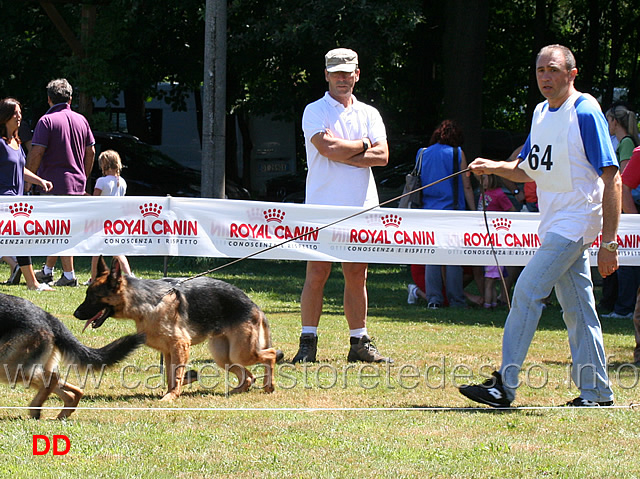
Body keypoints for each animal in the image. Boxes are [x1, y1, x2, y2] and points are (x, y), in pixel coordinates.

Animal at [0, 290, 145, 418]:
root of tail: (48, 317)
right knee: (73, 390)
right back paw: (62, 413)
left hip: (10, 368)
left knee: (53, 379)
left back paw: (36, 410)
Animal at [74, 258, 278, 402]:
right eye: (87, 295)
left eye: (93, 297)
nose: (75, 314)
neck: (149, 301)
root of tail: (254, 305)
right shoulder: (168, 350)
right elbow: (170, 375)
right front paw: (172, 391)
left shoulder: (180, 346)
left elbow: (177, 374)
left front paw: (172, 396)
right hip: (225, 356)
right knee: (248, 375)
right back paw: (238, 390)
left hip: (241, 352)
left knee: (271, 354)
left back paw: (269, 386)